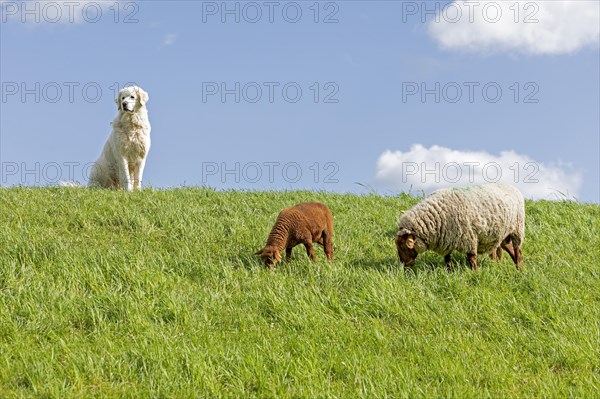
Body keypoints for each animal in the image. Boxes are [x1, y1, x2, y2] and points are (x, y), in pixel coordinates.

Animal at [396, 184, 528, 272]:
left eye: (403, 247)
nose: (404, 266)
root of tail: (512, 187)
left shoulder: (469, 238)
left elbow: (472, 258)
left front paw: (476, 273)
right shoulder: (447, 239)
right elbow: (447, 258)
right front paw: (449, 271)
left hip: (517, 229)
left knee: (517, 250)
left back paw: (519, 269)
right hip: (503, 234)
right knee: (510, 249)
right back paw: (518, 268)